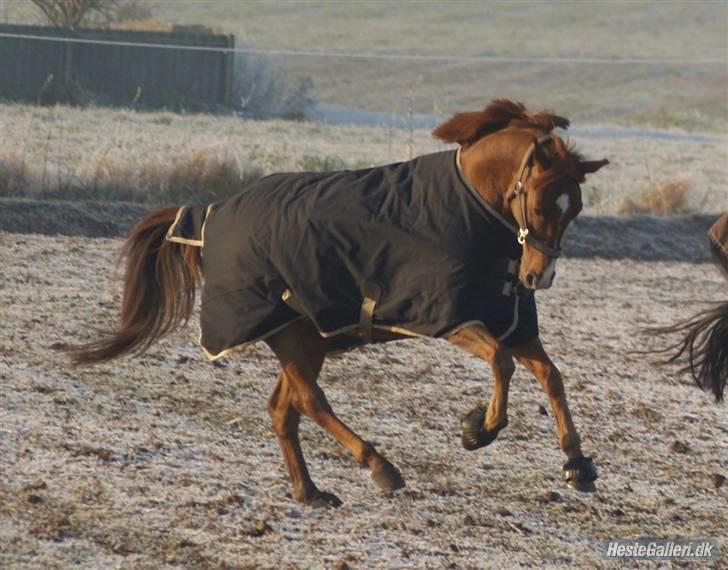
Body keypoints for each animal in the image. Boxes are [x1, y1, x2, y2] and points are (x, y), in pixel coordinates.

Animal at [72, 100, 608, 504]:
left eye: (576, 208)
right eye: (539, 203)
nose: (539, 276)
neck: (467, 209)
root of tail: (211, 214)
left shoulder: (508, 321)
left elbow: (551, 375)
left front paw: (577, 464)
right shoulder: (448, 317)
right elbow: (501, 363)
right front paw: (479, 428)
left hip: (304, 340)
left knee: (283, 409)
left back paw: (309, 492)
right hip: (291, 336)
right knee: (310, 401)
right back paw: (379, 465)